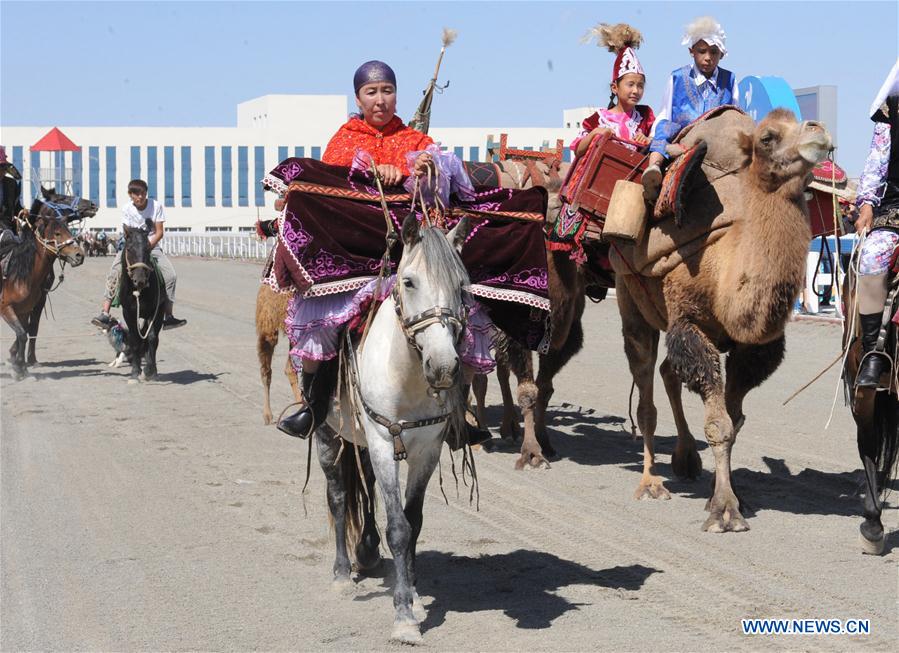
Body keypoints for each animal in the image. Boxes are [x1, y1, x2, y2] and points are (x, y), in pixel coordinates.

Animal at [1, 209, 85, 380]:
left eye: (69, 231)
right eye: (58, 233)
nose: (79, 255)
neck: (19, 275)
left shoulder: (25, 310)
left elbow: (24, 333)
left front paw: (20, 366)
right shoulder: (6, 308)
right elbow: (22, 334)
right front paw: (18, 368)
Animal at [314, 213, 472, 640]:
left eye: (461, 286)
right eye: (409, 282)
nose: (443, 367)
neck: (407, 380)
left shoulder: (427, 449)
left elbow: (413, 522)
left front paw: (414, 595)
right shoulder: (384, 441)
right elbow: (398, 527)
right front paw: (403, 617)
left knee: (365, 485)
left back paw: (367, 552)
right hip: (328, 435)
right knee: (338, 496)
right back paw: (341, 573)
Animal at [616, 109, 832, 532]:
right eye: (767, 137)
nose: (818, 130)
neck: (724, 270)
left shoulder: (754, 347)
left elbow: (735, 420)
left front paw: (729, 496)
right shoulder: (688, 322)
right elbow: (718, 424)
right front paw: (725, 512)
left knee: (667, 372)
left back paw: (685, 459)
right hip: (630, 295)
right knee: (645, 380)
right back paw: (650, 483)